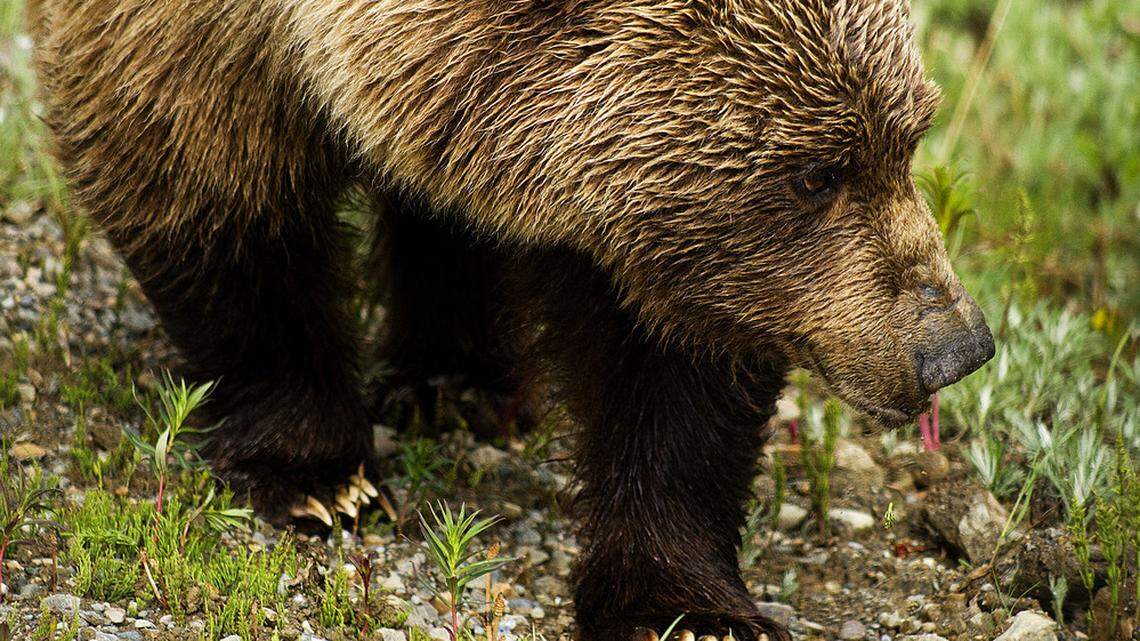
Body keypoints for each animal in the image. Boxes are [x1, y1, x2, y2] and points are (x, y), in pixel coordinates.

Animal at [30, 0, 995, 639]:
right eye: (815, 173)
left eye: (911, 132)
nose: (955, 349)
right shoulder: (185, 41)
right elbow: (202, 182)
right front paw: (319, 473)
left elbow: (671, 367)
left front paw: (686, 607)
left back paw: (456, 380)